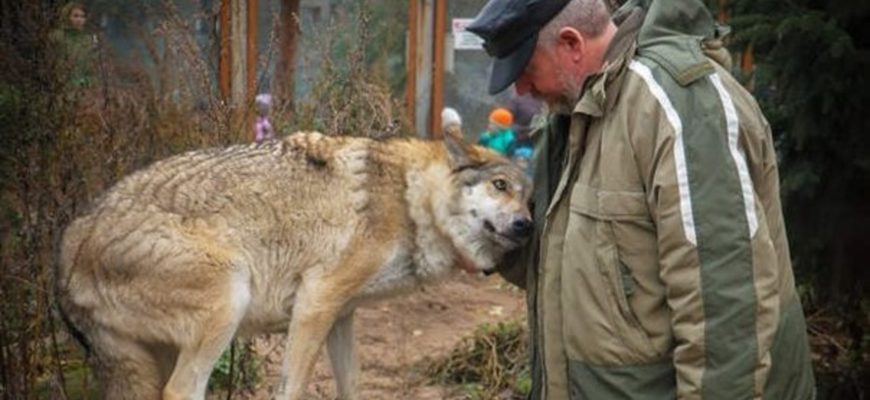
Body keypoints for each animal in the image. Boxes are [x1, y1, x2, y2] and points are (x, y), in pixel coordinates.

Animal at [56, 130, 532, 398]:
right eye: (499, 185)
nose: (527, 225)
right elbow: (292, 388)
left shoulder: (342, 314)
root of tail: (70, 242)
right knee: (179, 392)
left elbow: (352, 386)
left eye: (529, 198)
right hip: (229, 299)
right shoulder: (315, 303)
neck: (409, 199)